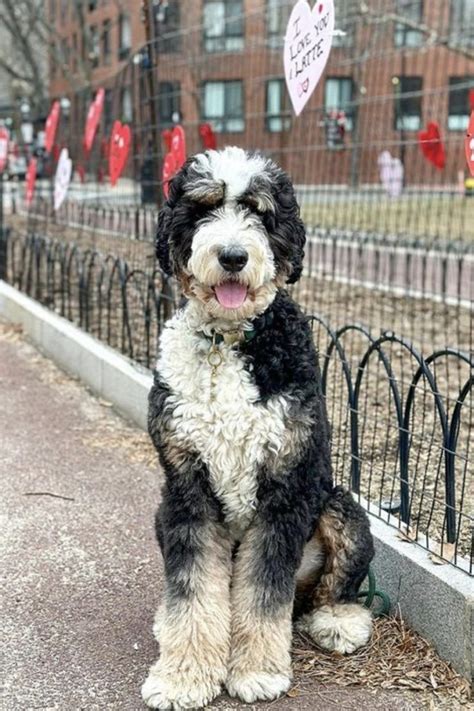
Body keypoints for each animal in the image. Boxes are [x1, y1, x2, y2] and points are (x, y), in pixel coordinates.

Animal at [141, 147, 374, 708]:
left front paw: (256, 670)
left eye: (260, 213)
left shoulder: (284, 488)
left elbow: (265, 594)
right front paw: (183, 675)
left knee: (327, 592)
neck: (229, 342)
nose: (232, 256)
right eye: (203, 209)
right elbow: (192, 589)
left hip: (340, 508)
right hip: (163, 515)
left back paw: (339, 622)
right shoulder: (187, 490)